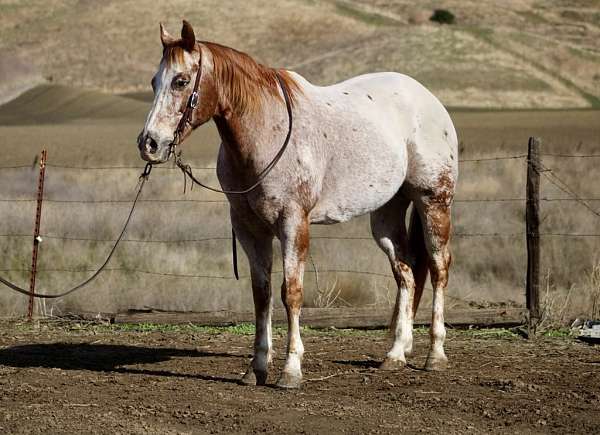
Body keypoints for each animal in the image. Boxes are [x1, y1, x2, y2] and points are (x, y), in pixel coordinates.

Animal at [139, 20, 460, 390]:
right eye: (154, 81)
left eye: (180, 81)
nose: (149, 143)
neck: (264, 132)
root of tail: (428, 100)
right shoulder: (249, 228)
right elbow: (261, 294)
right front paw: (256, 368)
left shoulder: (293, 223)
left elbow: (291, 292)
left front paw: (291, 370)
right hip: (387, 214)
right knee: (406, 272)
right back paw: (395, 354)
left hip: (433, 202)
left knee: (438, 269)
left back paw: (435, 355)